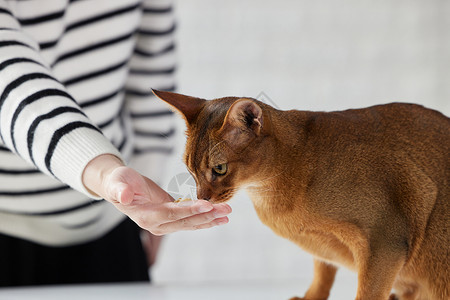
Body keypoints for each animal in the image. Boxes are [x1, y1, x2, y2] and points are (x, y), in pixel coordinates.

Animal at [153, 89, 448, 300]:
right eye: (190, 169)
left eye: (219, 168)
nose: (203, 198)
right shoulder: (324, 247)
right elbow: (321, 275)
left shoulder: (385, 239)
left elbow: (369, 293)